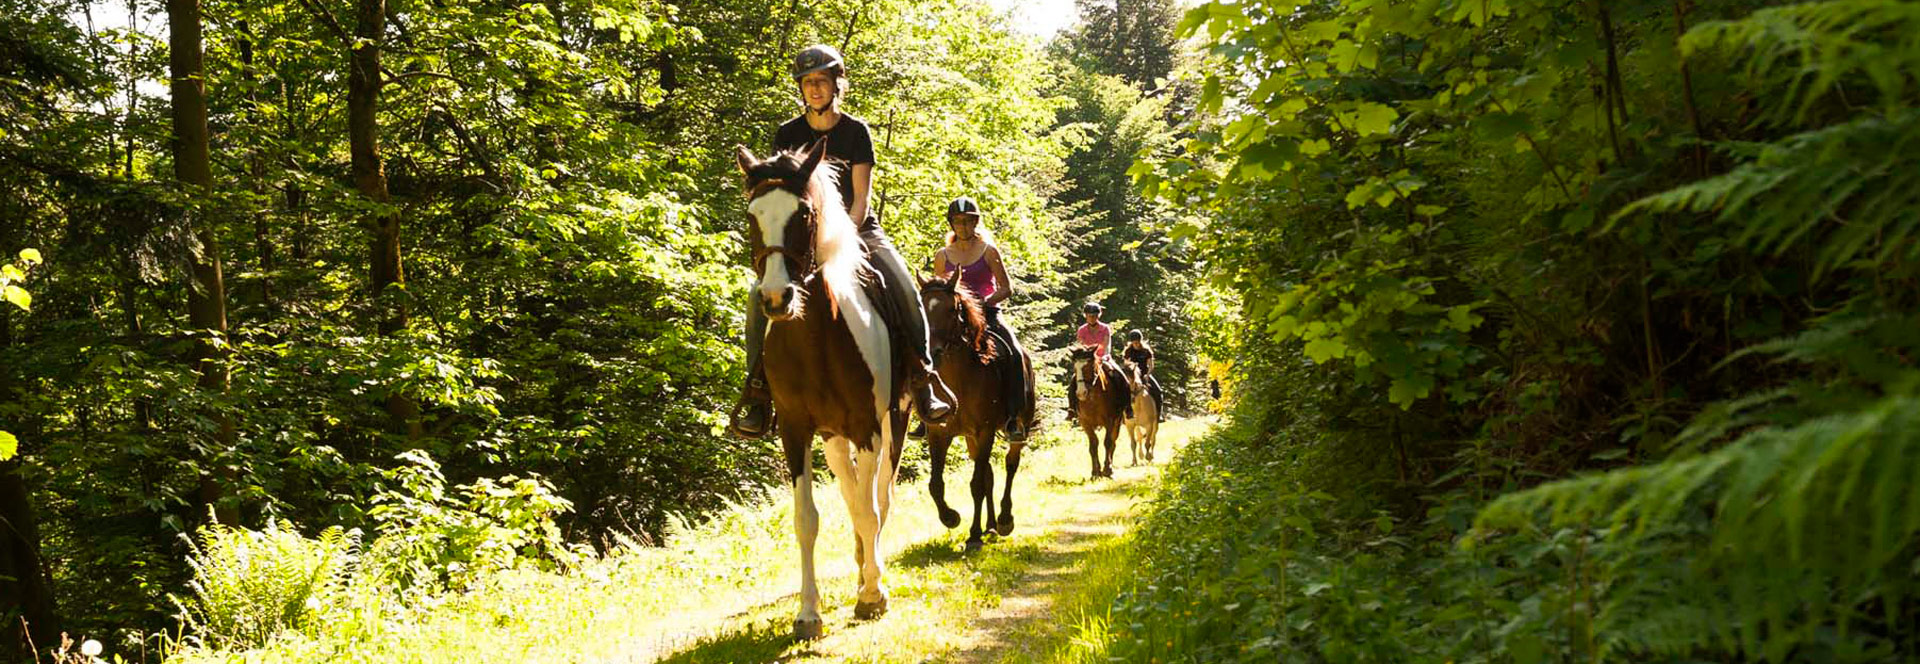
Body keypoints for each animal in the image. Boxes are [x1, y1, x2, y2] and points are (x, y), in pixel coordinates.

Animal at [737, 141, 910, 644]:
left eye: (805, 213)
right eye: (752, 215)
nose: (777, 298)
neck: (814, 338)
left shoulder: (870, 427)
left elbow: (872, 509)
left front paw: (873, 595)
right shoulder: (795, 430)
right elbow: (807, 519)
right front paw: (808, 614)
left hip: (896, 422)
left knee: (879, 498)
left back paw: (872, 572)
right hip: (833, 437)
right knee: (853, 494)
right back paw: (862, 565)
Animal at [917, 272, 1036, 552]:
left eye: (952, 309)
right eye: (923, 308)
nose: (931, 351)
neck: (959, 379)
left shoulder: (985, 431)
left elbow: (975, 484)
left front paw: (972, 535)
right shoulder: (939, 433)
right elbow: (935, 484)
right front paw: (951, 517)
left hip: (1017, 427)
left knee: (1010, 465)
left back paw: (1003, 520)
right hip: (971, 438)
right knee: (989, 475)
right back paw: (990, 526)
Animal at [1067, 345, 1121, 479]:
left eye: (1089, 366)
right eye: (1075, 368)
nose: (1081, 393)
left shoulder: (1110, 421)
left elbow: (1108, 442)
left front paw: (1107, 469)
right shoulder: (1085, 423)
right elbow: (1093, 445)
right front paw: (1095, 472)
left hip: (1118, 421)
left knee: (1113, 441)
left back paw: (1110, 467)